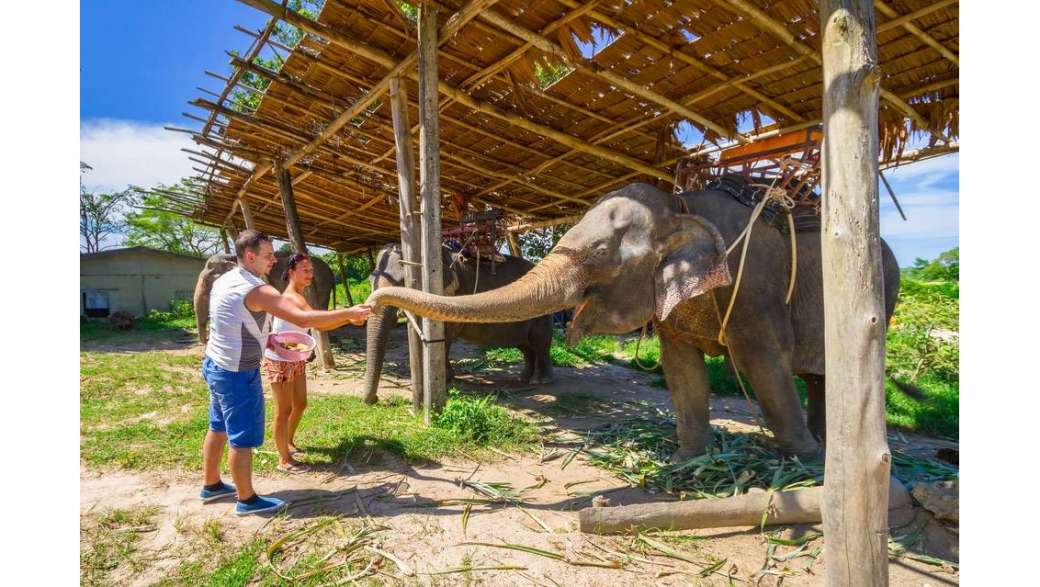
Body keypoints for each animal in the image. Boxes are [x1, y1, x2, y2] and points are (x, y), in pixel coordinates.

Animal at [366, 243, 561, 403]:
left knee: (540, 343)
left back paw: (540, 381)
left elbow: (445, 335)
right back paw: (524, 379)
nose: (375, 399)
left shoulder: (449, 295)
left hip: (543, 313)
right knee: (526, 347)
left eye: (403, 282)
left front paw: (446, 379)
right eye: (371, 280)